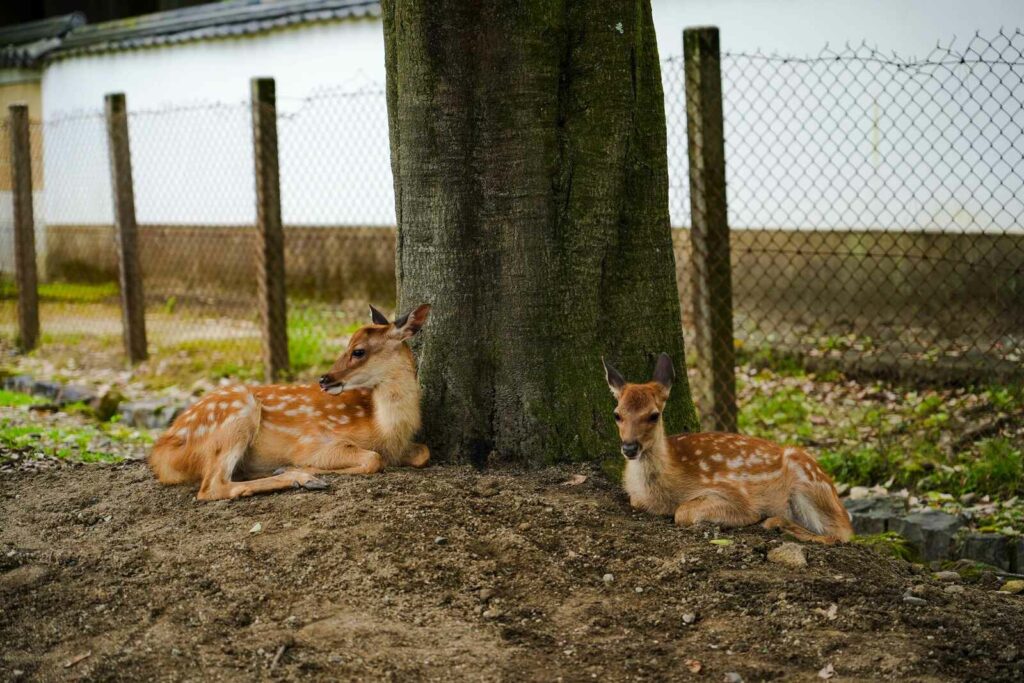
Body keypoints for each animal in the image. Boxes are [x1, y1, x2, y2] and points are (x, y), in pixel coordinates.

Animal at [146, 305, 430, 501]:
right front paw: (299, 467)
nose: (324, 379)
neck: (384, 430)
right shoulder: (314, 442)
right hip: (236, 414)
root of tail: (161, 453)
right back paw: (299, 478)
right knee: (212, 487)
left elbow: (423, 453)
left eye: (358, 351)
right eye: (347, 345)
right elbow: (373, 459)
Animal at [602, 352, 851, 544]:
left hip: (807, 484)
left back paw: (777, 523)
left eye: (654, 415)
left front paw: (753, 518)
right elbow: (637, 502)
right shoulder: (637, 498)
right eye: (617, 414)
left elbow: (683, 512)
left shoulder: (733, 493)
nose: (630, 447)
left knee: (841, 533)